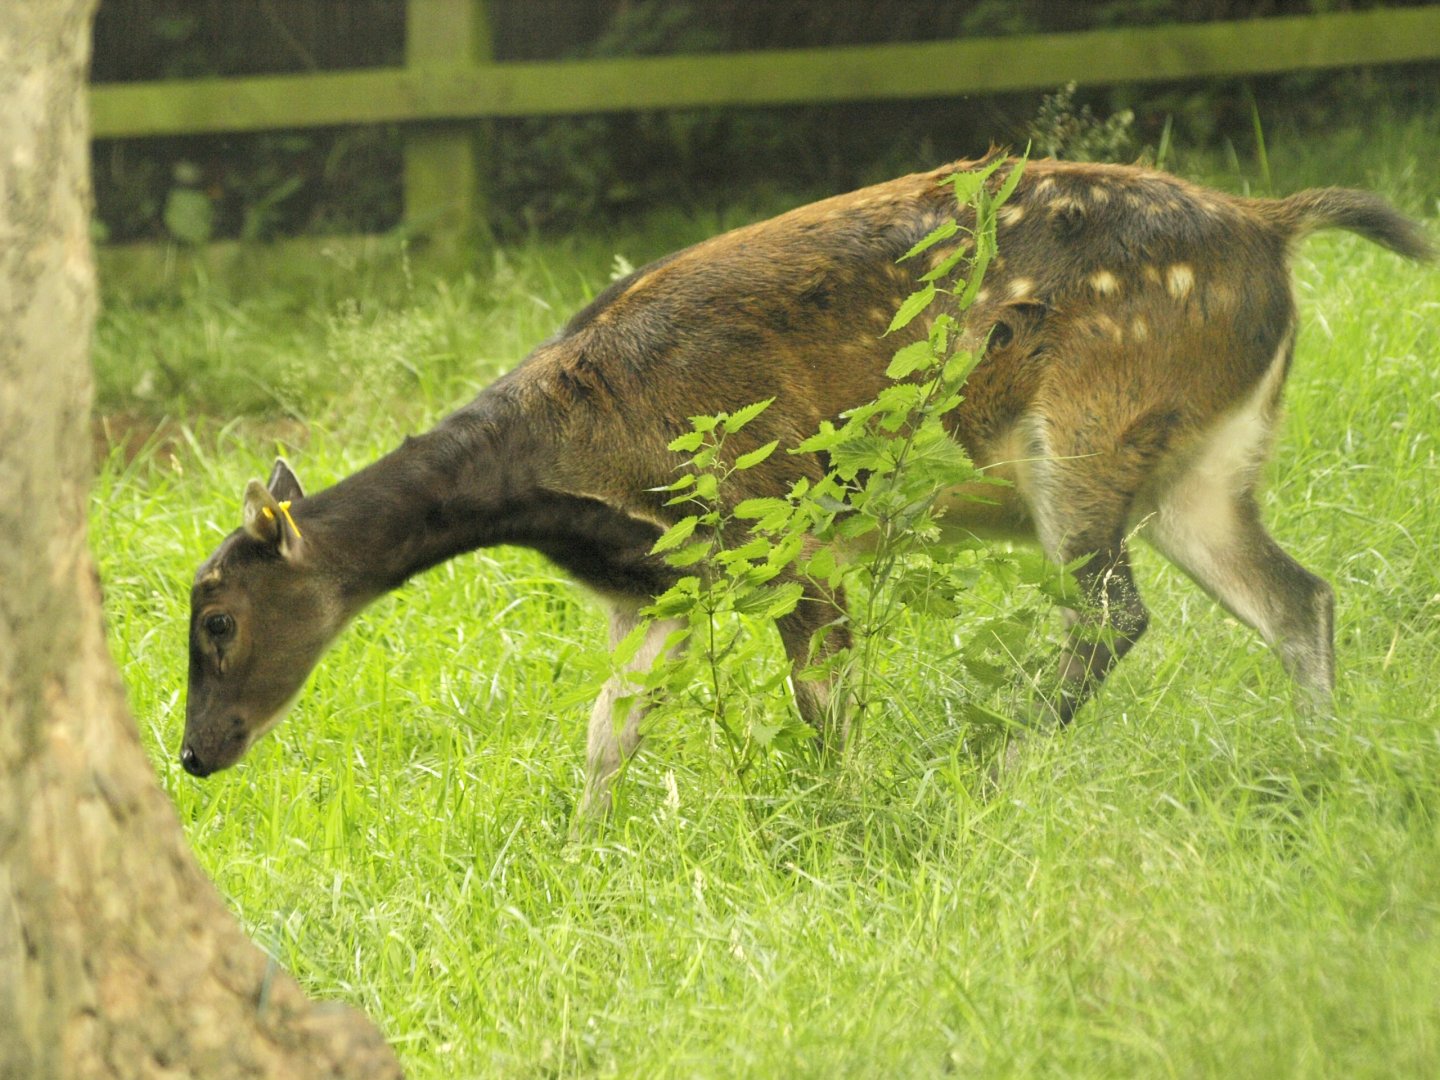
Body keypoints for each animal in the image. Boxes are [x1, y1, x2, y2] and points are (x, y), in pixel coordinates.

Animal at [181, 155, 1432, 820]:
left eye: (217, 620)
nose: (194, 753)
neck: (571, 462)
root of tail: (1273, 227)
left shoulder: (783, 531)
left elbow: (818, 703)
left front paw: (842, 819)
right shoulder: (667, 587)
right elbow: (607, 727)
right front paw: (580, 845)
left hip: (1086, 437)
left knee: (1117, 614)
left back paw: (990, 766)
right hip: (1204, 467)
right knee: (1301, 598)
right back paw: (1318, 764)